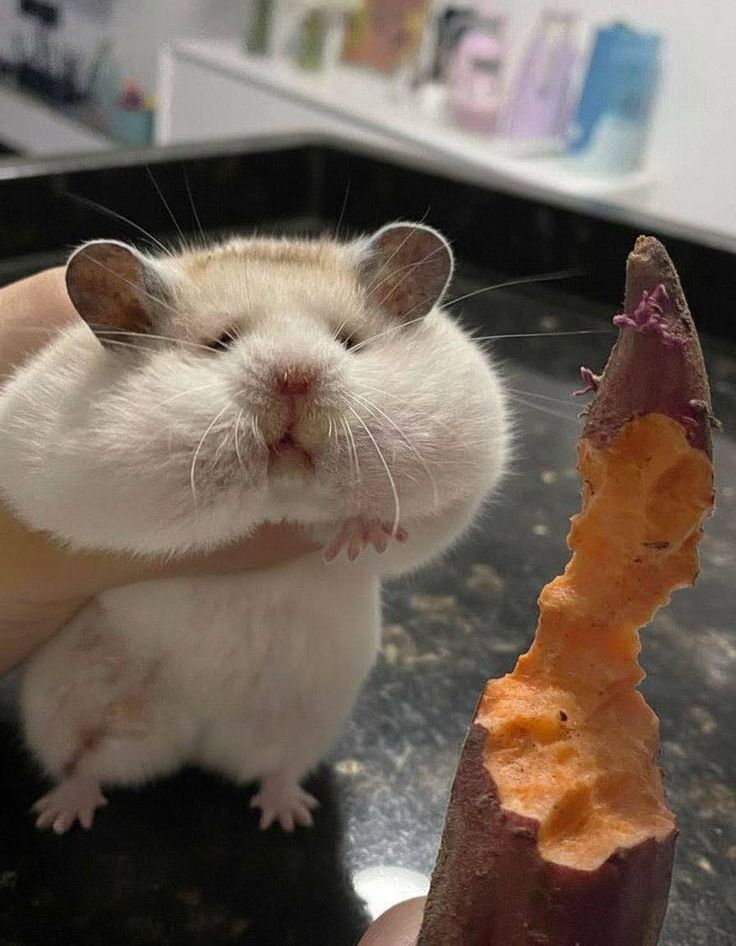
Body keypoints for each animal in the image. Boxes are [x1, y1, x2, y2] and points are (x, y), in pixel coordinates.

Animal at [0, 223, 508, 834]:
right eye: (221, 343)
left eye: (349, 341)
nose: (295, 377)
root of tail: (197, 740)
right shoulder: (77, 479)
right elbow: (192, 500)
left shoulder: (463, 465)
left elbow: (403, 522)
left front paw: (357, 533)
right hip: (63, 711)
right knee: (82, 768)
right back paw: (61, 816)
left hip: (305, 722)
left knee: (277, 769)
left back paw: (287, 817)